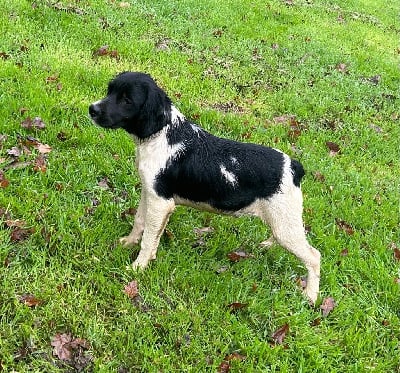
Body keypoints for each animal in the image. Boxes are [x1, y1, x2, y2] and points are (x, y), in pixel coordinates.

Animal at [89, 72, 320, 302]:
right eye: (110, 90)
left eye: (127, 100)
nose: (92, 109)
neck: (163, 134)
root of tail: (294, 166)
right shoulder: (150, 192)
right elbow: (139, 221)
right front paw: (128, 243)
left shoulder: (161, 203)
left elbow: (149, 238)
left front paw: (137, 267)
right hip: (281, 221)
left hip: (285, 223)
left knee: (314, 256)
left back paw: (310, 295)